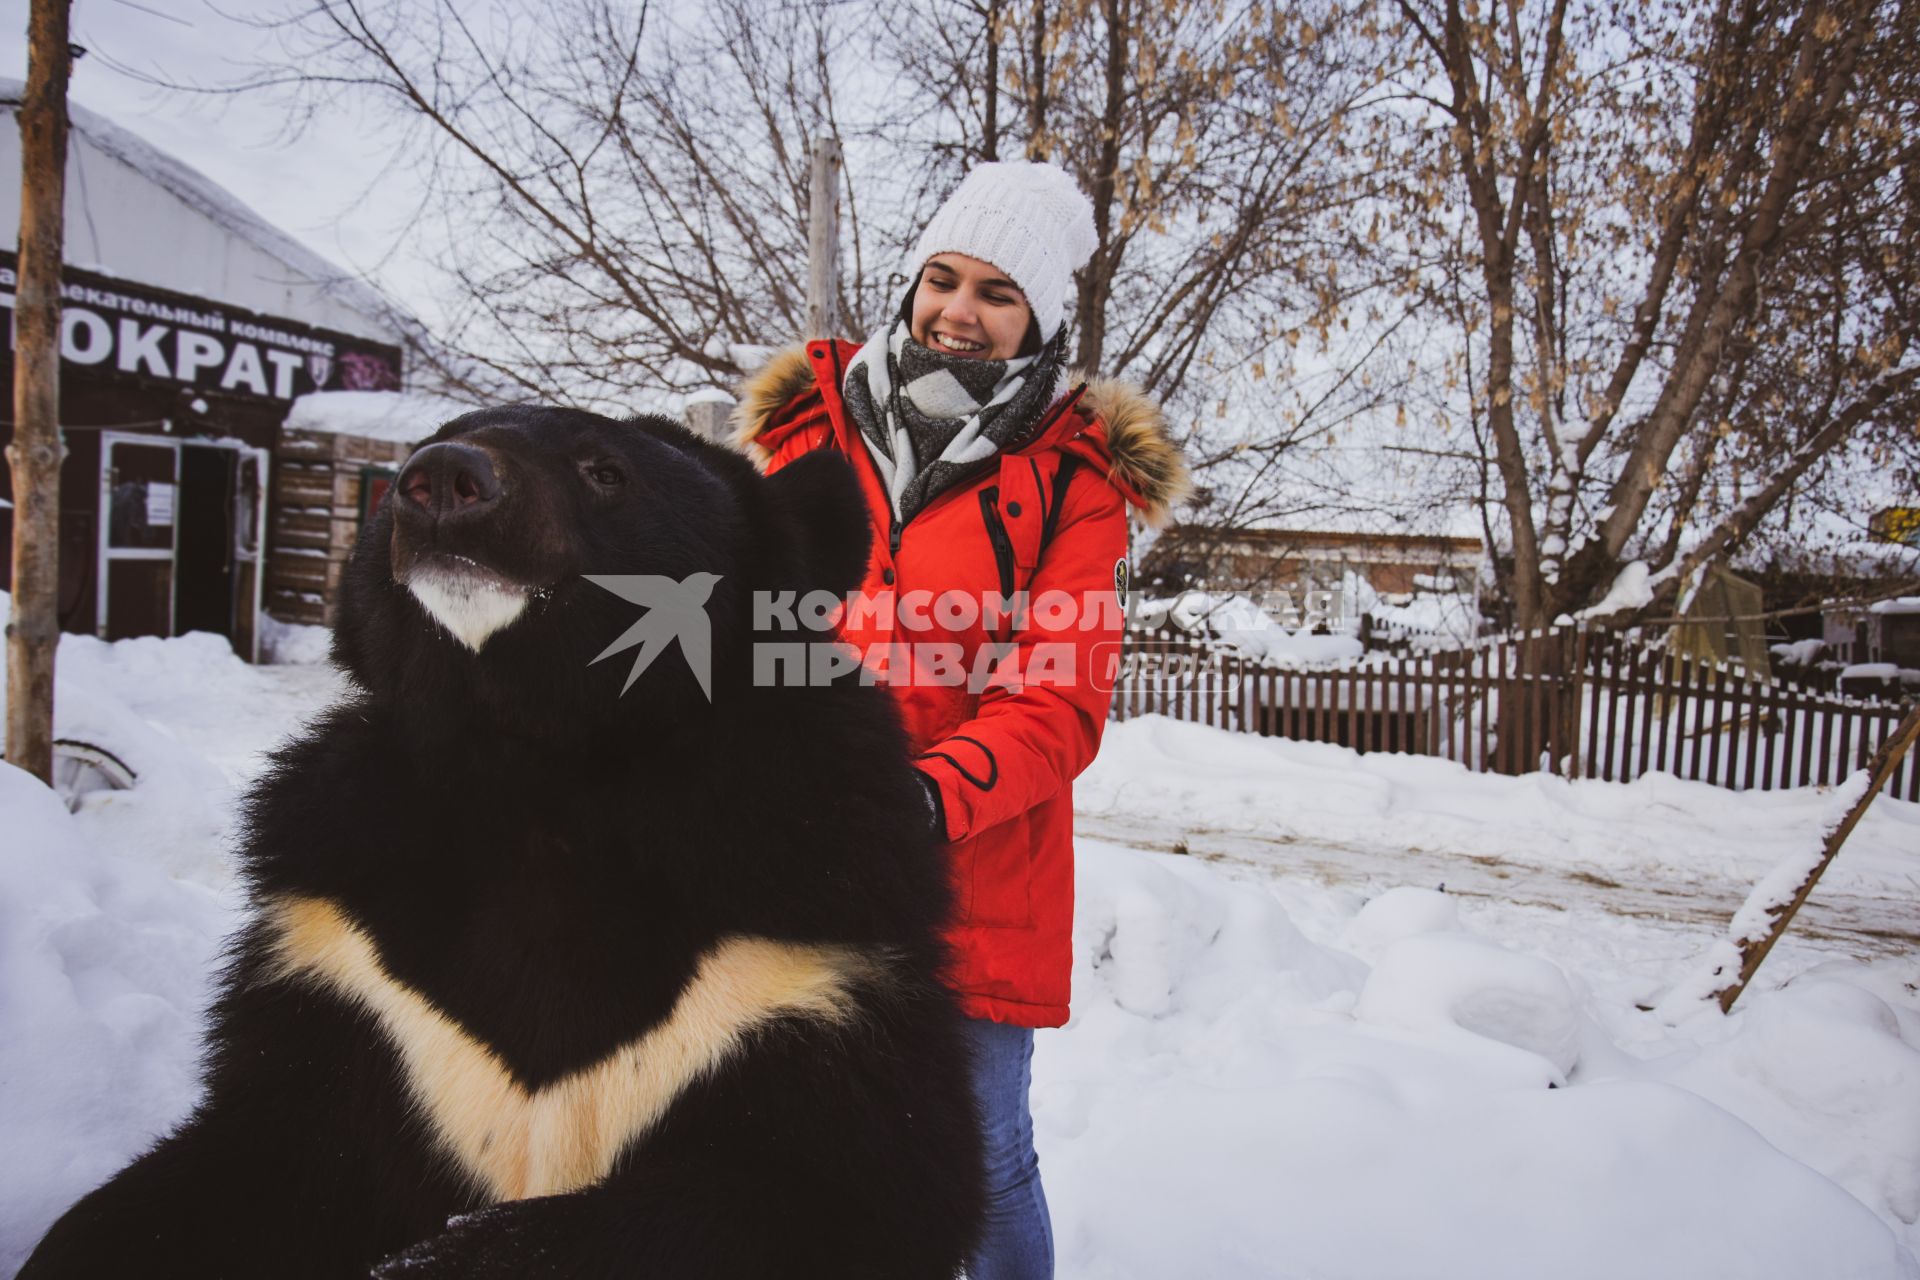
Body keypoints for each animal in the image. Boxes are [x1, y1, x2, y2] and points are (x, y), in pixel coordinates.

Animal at [26, 404, 990, 1274]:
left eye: (605, 470)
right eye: (431, 441)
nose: (442, 482)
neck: (539, 767)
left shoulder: (809, 977)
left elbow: (846, 1189)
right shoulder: (339, 962)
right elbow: (241, 1160)